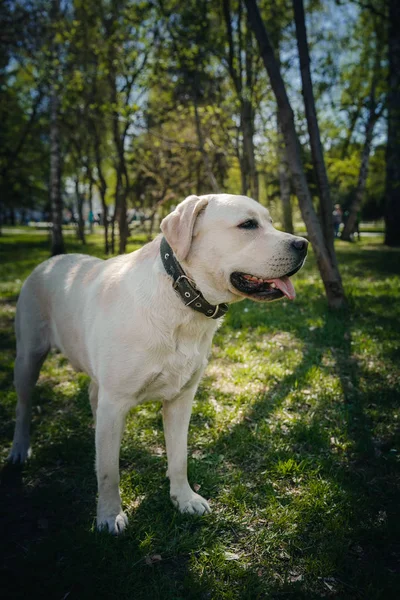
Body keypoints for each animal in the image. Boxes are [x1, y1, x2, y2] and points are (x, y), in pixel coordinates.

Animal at [10, 193, 310, 536]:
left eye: (271, 222)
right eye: (248, 225)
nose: (303, 244)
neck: (181, 297)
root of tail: (51, 261)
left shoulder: (181, 399)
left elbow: (179, 457)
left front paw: (184, 498)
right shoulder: (116, 401)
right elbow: (109, 473)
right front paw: (109, 515)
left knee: (93, 400)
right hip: (28, 358)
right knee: (23, 406)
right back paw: (19, 449)